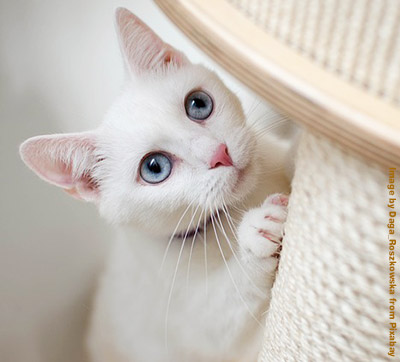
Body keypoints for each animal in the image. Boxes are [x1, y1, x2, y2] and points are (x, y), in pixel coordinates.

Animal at [18, 8, 292, 362]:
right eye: (154, 168)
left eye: (198, 104)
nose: (219, 154)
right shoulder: (190, 322)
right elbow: (224, 311)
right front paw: (257, 233)